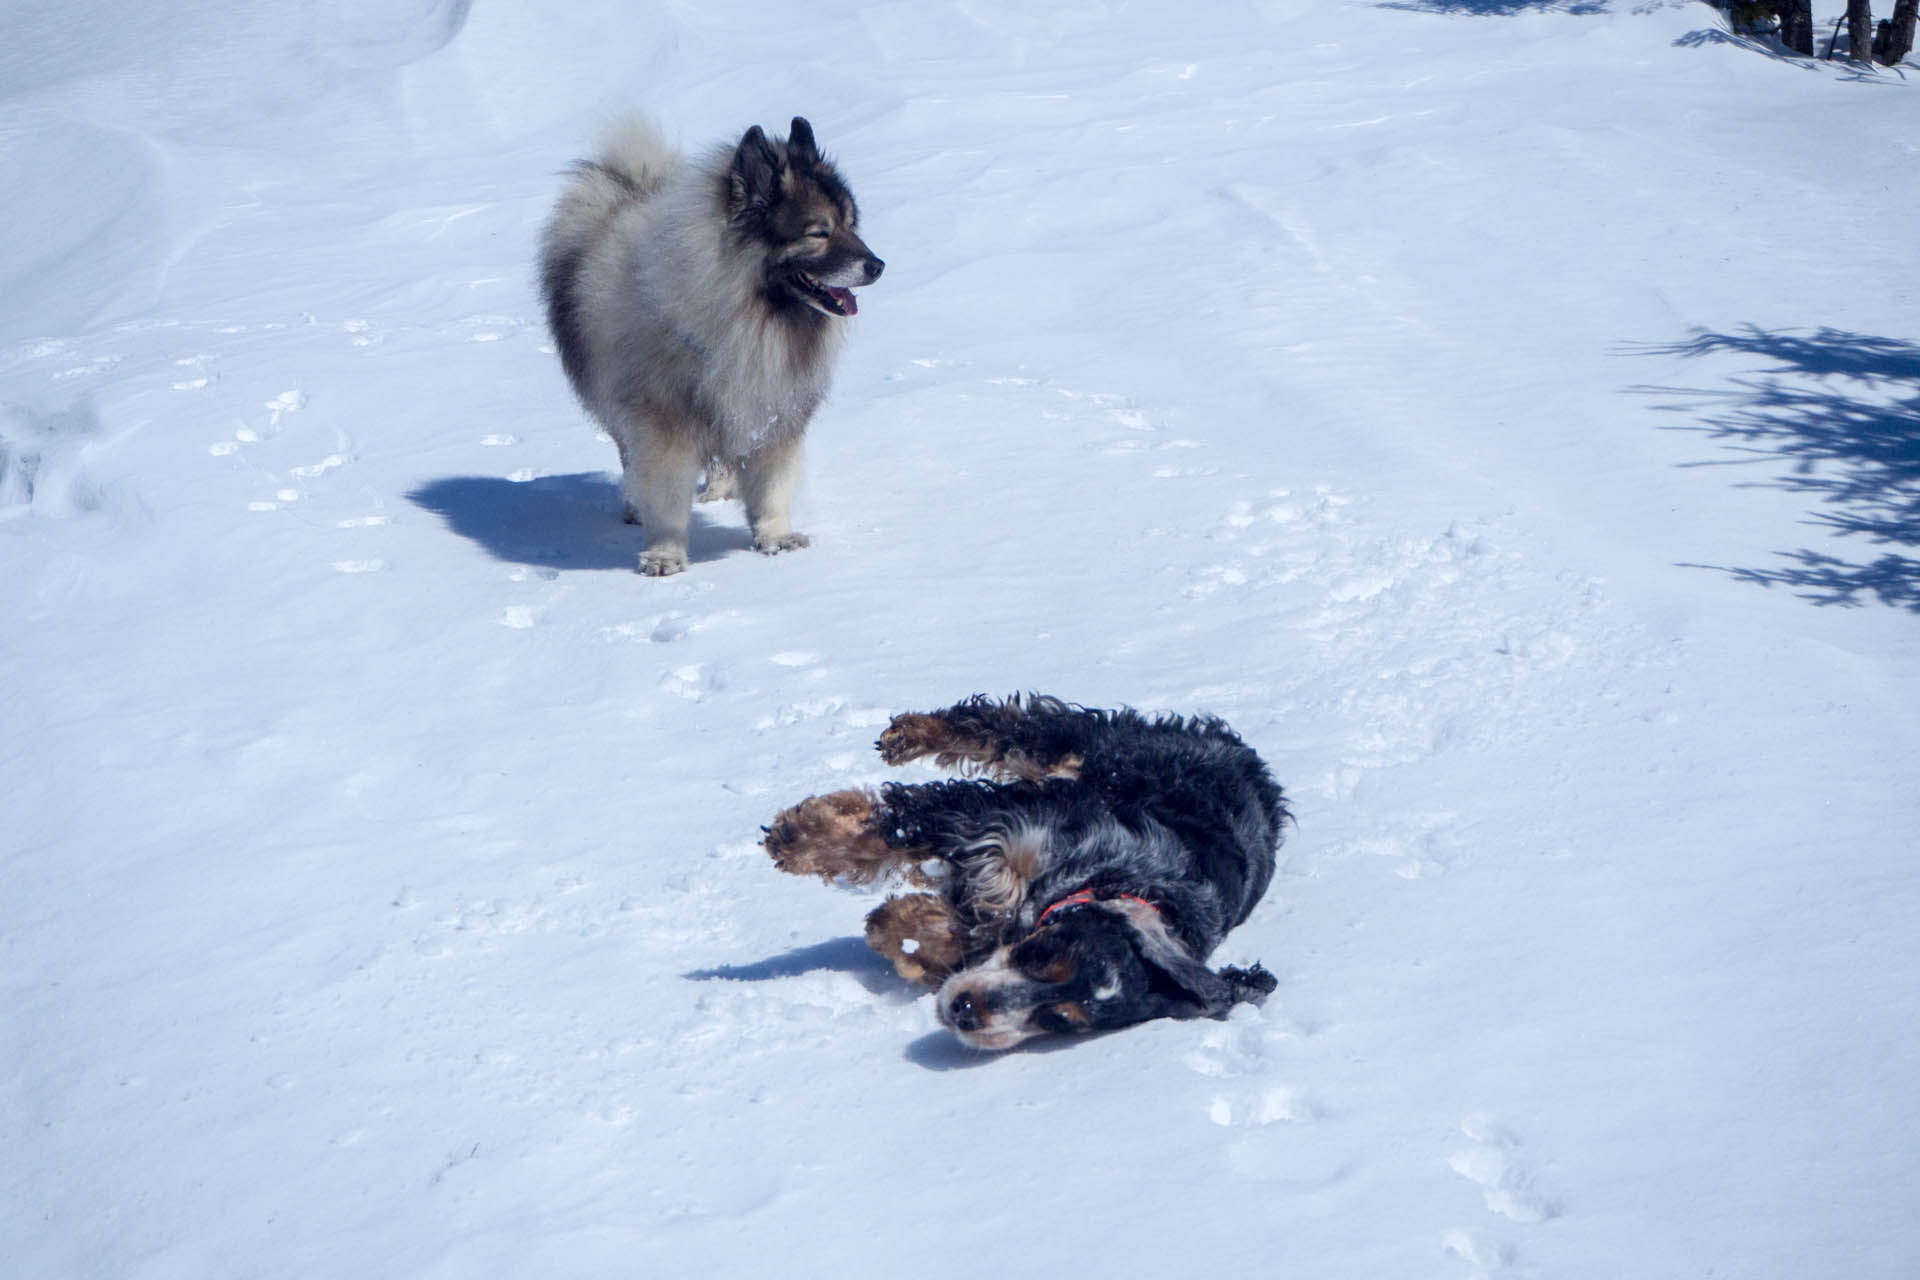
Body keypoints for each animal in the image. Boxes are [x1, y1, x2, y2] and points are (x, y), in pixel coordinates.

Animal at [541, 115, 883, 575]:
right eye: (819, 232)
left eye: (850, 224)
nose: (878, 266)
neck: (747, 316)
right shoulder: (664, 426)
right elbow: (665, 497)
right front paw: (665, 554)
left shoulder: (772, 414)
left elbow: (772, 486)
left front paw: (775, 537)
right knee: (629, 457)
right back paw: (635, 506)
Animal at [764, 702, 1290, 1051]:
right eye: (1040, 954)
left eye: (1058, 1019)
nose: (966, 1011)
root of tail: (1252, 763)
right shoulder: (1007, 825)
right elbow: (895, 829)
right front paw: (798, 838)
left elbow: (951, 927)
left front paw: (895, 926)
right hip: (1100, 750)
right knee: (1010, 723)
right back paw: (908, 735)